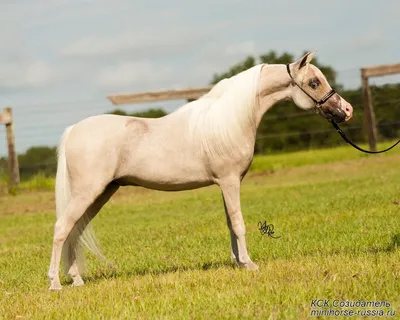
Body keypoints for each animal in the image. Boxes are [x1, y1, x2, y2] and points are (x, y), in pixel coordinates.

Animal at [47, 52, 354, 290]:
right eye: (314, 82)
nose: (347, 110)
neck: (229, 120)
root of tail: (73, 130)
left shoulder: (225, 183)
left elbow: (230, 222)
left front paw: (237, 262)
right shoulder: (230, 182)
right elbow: (239, 223)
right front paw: (250, 264)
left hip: (101, 193)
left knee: (74, 230)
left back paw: (76, 279)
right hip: (89, 192)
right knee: (62, 228)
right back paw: (55, 283)